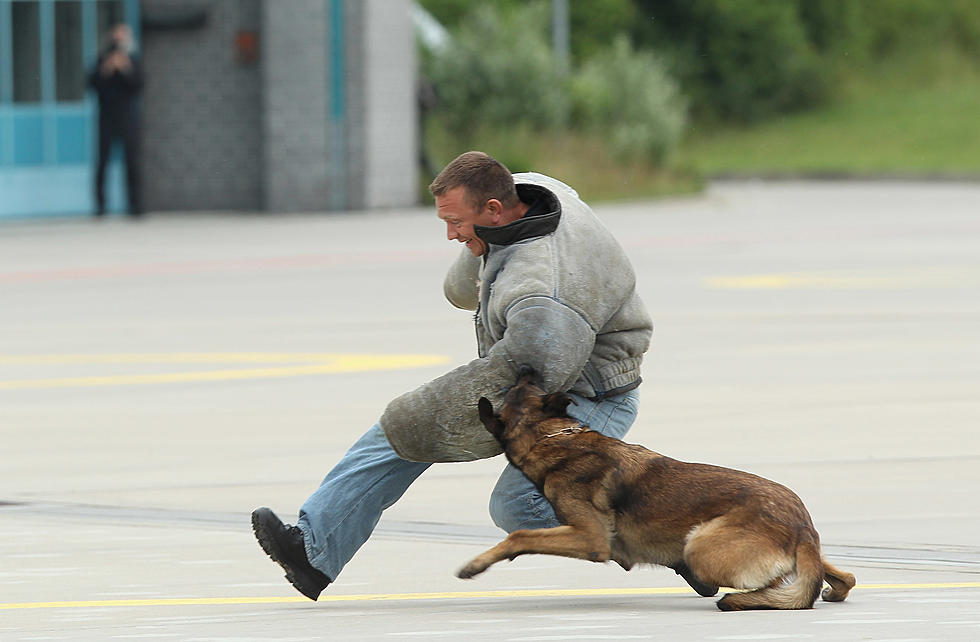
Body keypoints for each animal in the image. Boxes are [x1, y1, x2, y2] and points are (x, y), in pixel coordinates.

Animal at [456, 364, 852, 608]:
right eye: (529, 383)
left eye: (518, 387)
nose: (526, 367)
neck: (551, 436)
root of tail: (802, 528)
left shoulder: (590, 538)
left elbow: (519, 535)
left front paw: (475, 565)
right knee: (843, 577)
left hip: (700, 545)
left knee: (777, 585)